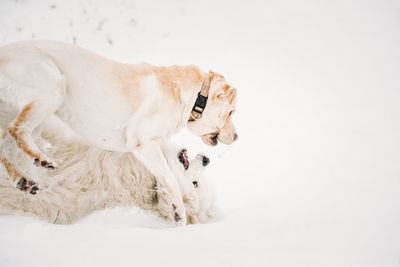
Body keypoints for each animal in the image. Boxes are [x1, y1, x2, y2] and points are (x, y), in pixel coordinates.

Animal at [0, 39, 238, 224]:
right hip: (53, 90)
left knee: (7, 143)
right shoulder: (143, 144)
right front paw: (178, 210)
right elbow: (170, 178)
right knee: (16, 129)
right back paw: (40, 160)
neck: (195, 97)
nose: (237, 137)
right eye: (231, 112)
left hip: (40, 114)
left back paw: (23, 180)